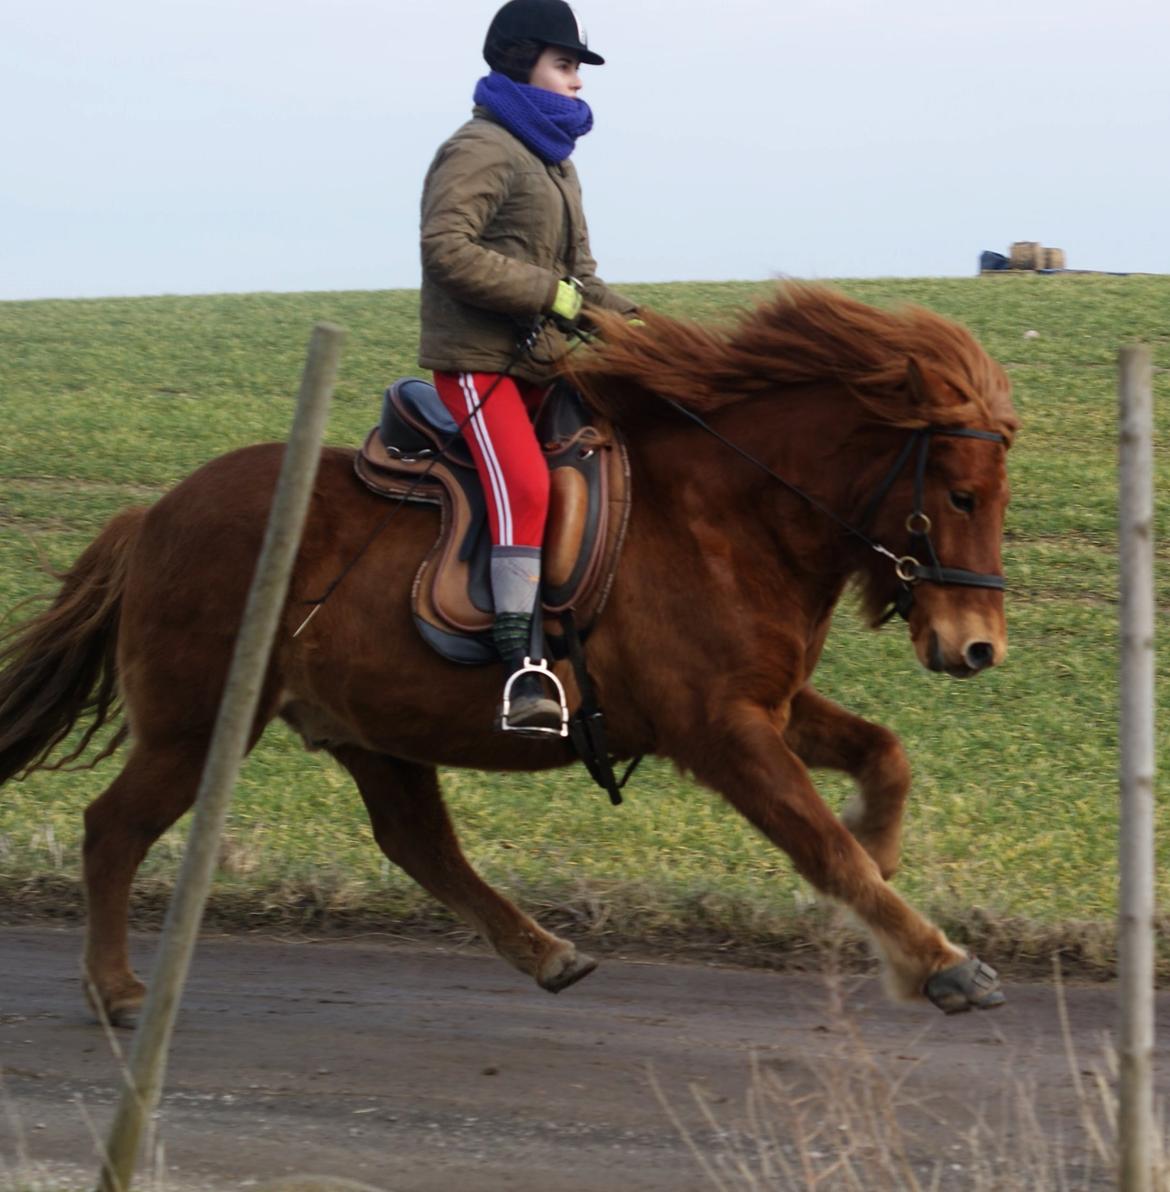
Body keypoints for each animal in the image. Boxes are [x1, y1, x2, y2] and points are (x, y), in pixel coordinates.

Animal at [0, 281, 1015, 1025]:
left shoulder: (770, 704)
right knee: (113, 828)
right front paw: (940, 962)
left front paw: (885, 857)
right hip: (199, 725)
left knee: (419, 844)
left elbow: (885, 757)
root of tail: (151, 515)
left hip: (373, 730)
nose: (978, 647)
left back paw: (547, 952)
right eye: (962, 494)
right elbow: (822, 846)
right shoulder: (721, 731)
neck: (729, 511)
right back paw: (118, 992)